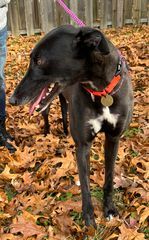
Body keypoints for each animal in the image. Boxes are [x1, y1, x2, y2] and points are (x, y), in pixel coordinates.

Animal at [9, 25, 133, 228]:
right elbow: (85, 184)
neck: (101, 90)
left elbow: (109, 178)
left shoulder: (113, 138)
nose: (12, 100)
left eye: (39, 60)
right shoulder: (83, 145)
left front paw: (109, 209)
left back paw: (66, 132)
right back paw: (47, 133)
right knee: (47, 117)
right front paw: (89, 217)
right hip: (47, 106)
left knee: (64, 113)